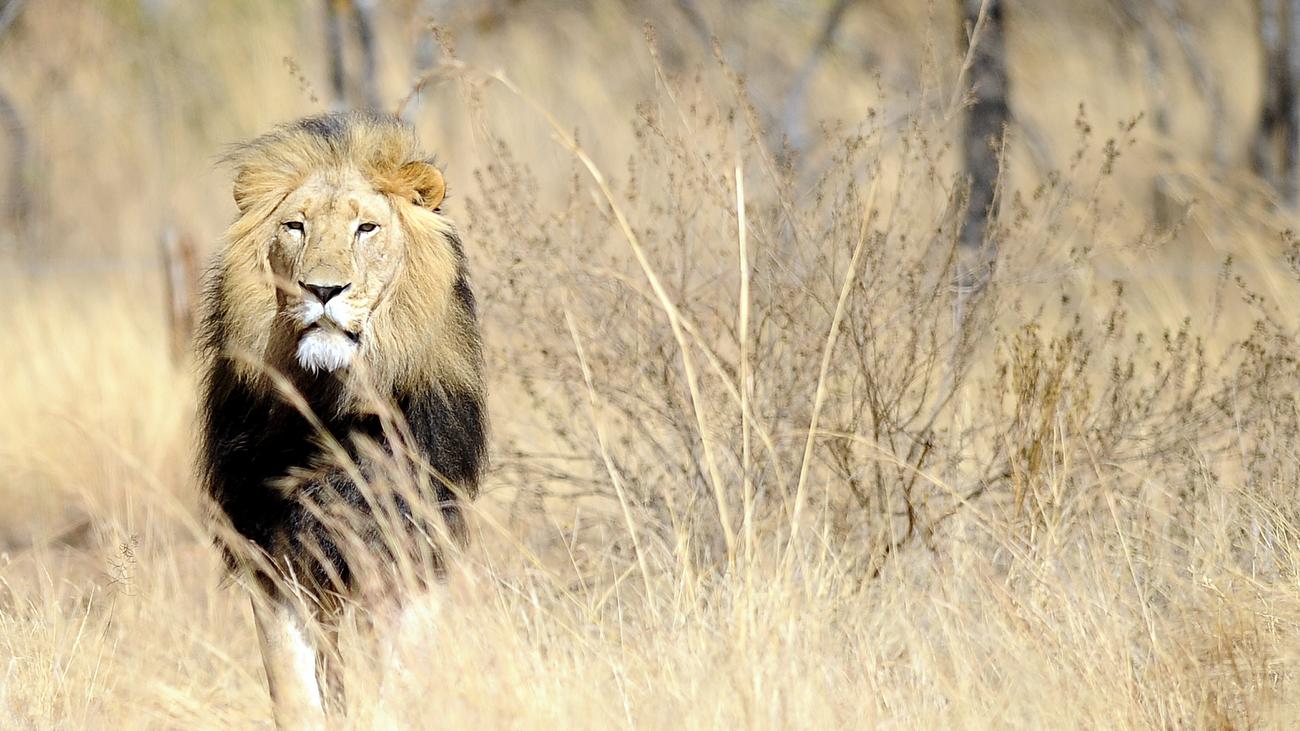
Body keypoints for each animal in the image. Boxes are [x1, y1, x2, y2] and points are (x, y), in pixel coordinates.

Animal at [197, 111, 488, 723]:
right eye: (295, 227)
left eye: (366, 229)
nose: (323, 289)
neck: (332, 406)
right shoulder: (273, 556)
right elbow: (295, 693)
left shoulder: (410, 552)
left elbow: (395, 687)